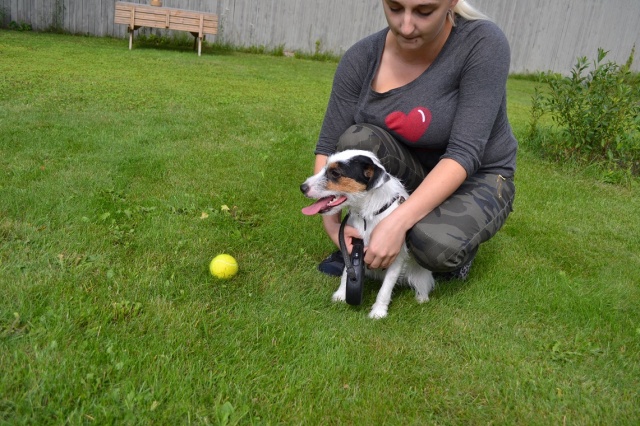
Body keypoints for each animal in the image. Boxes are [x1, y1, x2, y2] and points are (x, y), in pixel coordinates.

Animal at [300, 150, 435, 319]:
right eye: (325, 168)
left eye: (335, 173)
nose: (302, 187)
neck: (368, 214)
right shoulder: (352, 245)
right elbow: (346, 272)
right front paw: (341, 295)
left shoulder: (396, 257)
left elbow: (386, 288)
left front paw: (378, 312)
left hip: (421, 274)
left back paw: (421, 298)